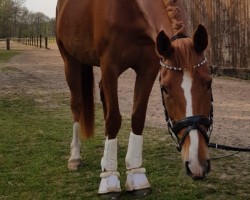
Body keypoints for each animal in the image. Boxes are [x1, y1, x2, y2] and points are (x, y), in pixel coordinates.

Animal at [56, 0, 213, 197]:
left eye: (208, 82)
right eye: (165, 88)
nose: (197, 163)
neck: (129, 10)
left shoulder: (148, 67)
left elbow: (137, 117)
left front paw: (136, 175)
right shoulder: (109, 65)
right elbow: (113, 120)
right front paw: (109, 180)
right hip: (70, 60)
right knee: (76, 103)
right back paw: (75, 157)